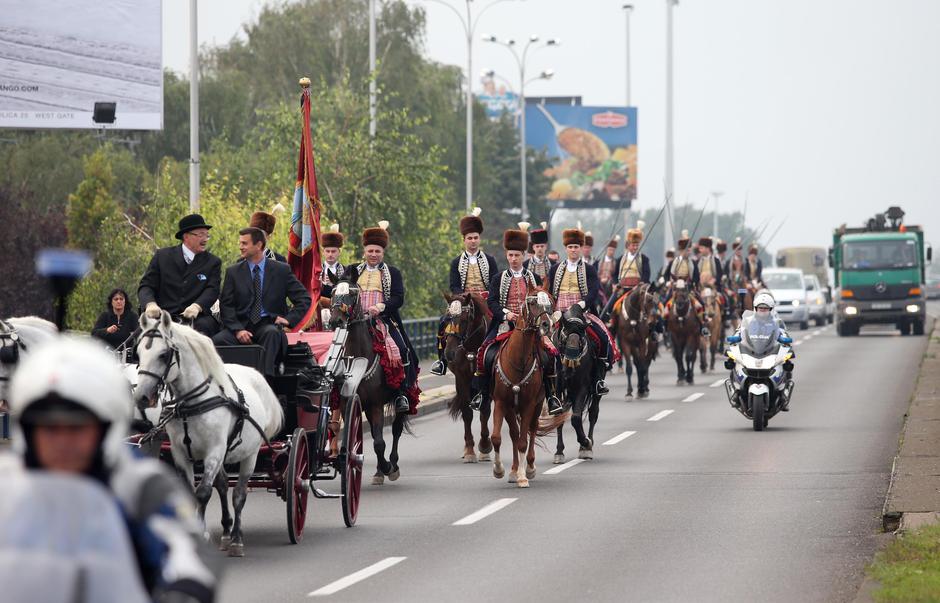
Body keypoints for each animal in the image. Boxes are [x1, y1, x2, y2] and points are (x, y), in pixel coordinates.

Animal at [131, 312, 282, 556]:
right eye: (138, 354)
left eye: (163, 355)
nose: (141, 397)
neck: (192, 402)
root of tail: (254, 373)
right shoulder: (180, 453)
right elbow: (190, 493)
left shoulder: (214, 451)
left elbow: (202, 493)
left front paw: (201, 534)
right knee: (222, 485)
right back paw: (227, 533)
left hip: (250, 455)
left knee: (239, 494)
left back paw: (237, 539)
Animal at [444, 292, 496, 462]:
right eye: (447, 318)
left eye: (464, 320)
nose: (449, 353)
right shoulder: (461, 378)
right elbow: (467, 412)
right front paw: (469, 450)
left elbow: (485, 410)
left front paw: (485, 446)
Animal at [492, 286, 564, 488]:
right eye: (532, 302)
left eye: (550, 302)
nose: (546, 325)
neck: (518, 361)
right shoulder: (501, 403)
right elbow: (498, 438)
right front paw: (500, 470)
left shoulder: (529, 405)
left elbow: (523, 441)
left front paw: (523, 476)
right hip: (511, 409)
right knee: (514, 434)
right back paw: (514, 470)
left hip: (538, 405)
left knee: (531, 430)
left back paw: (529, 467)